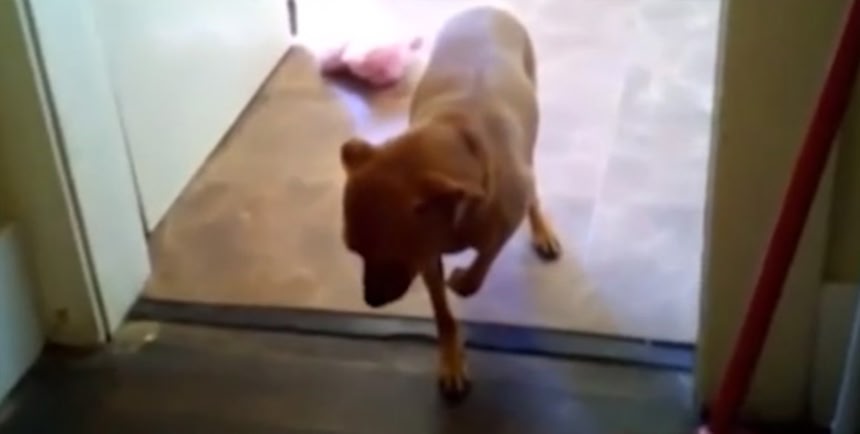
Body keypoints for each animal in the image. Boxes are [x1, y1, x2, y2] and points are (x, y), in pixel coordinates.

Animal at [339, 6, 561, 401]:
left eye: (392, 254)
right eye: (354, 251)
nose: (370, 302)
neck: (460, 134)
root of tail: (486, 8)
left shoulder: (499, 224)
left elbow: (480, 265)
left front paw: (462, 280)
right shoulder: (428, 257)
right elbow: (443, 314)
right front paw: (452, 361)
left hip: (530, 142)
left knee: (533, 193)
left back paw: (541, 230)